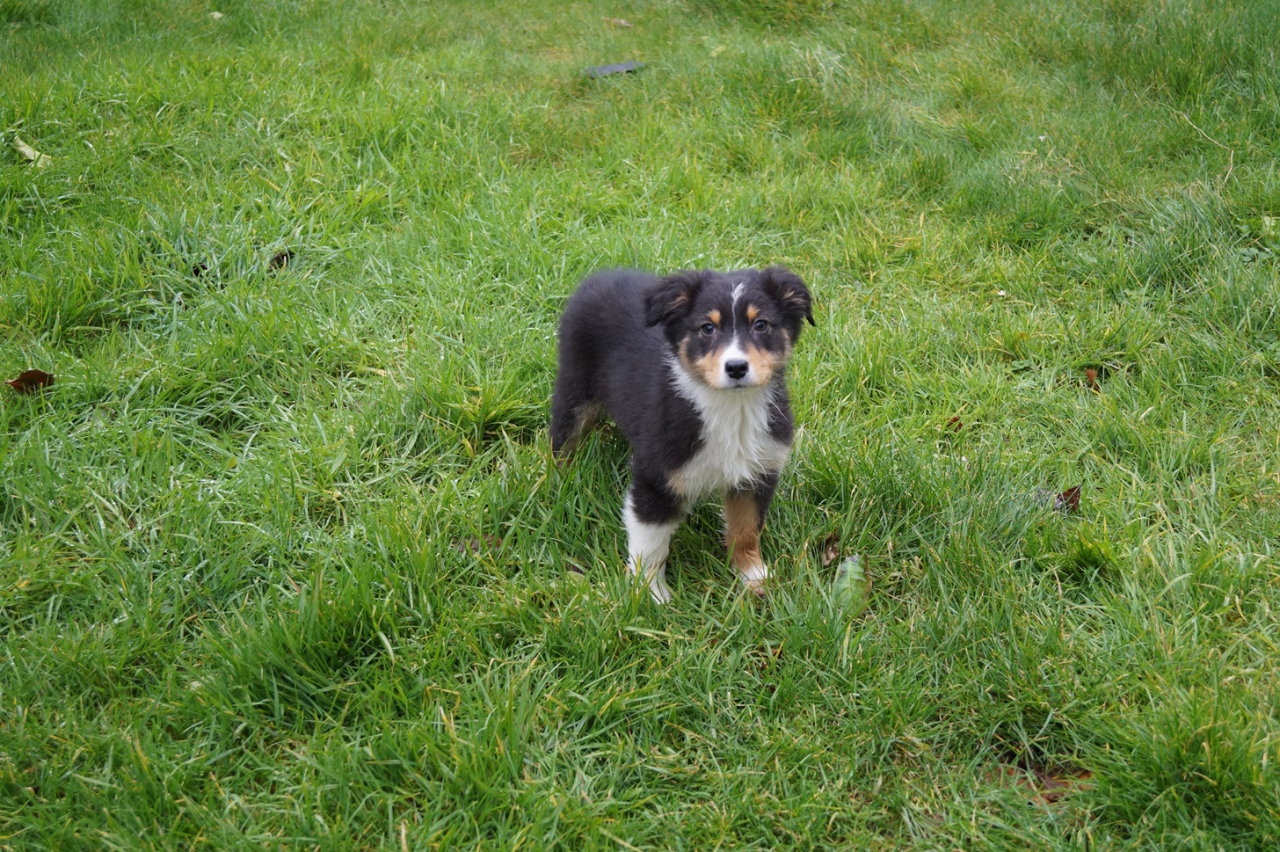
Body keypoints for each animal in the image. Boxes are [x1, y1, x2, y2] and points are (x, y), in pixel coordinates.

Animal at [550, 266, 814, 602]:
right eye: (707, 328)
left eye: (761, 325)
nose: (736, 367)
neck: (732, 408)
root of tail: (601, 274)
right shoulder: (656, 478)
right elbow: (651, 545)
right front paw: (651, 593)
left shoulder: (758, 472)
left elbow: (745, 529)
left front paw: (753, 575)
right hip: (575, 389)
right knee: (561, 439)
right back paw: (560, 479)